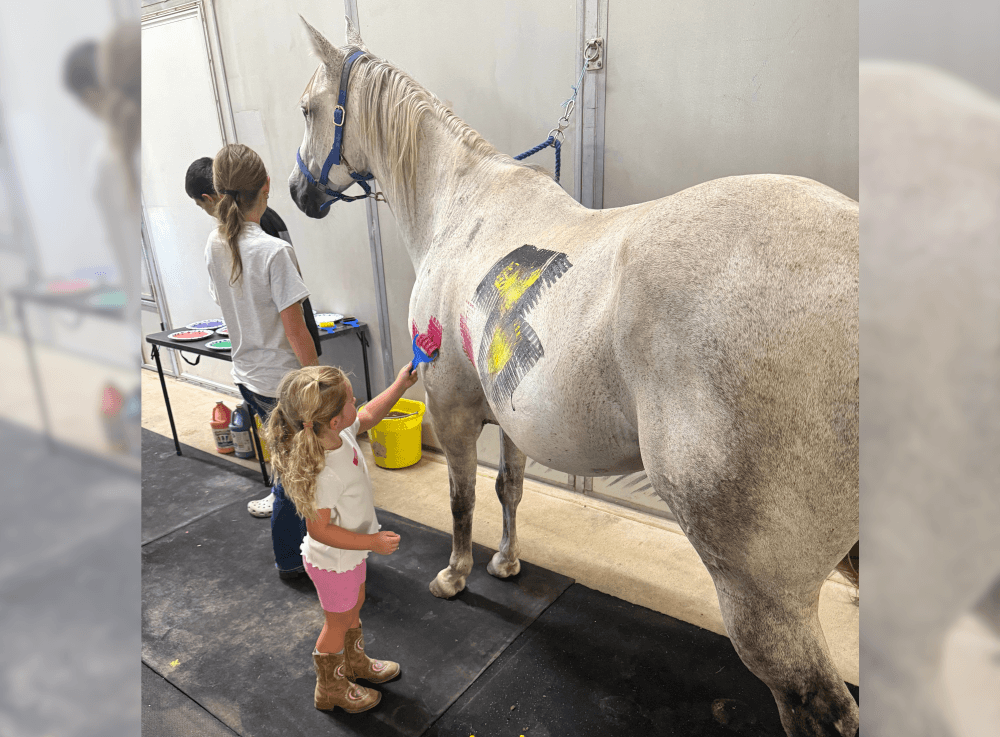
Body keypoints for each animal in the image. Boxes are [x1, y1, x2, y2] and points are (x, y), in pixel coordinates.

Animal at [289, 19, 859, 737]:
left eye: (308, 110)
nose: (297, 192)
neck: (462, 208)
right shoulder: (508, 418)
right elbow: (507, 490)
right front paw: (506, 563)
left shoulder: (452, 410)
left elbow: (461, 500)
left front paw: (456, 574)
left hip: (766, 597)